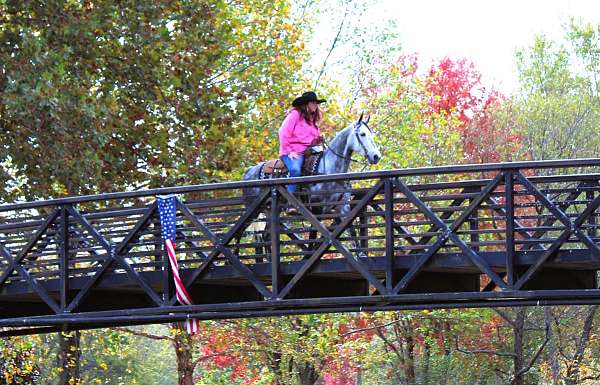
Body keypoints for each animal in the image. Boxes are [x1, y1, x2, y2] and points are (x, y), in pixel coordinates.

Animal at [239, 112, 380, 258]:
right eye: (362, 134)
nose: (376, 156)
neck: (329, 169)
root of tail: (250, 171)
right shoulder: (315, 210)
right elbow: (313, 236)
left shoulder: (342, 209)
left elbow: (351, 231)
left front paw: (361, 255)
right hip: (252, 211)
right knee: (241, 232)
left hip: (269, 211)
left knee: (266, 236)